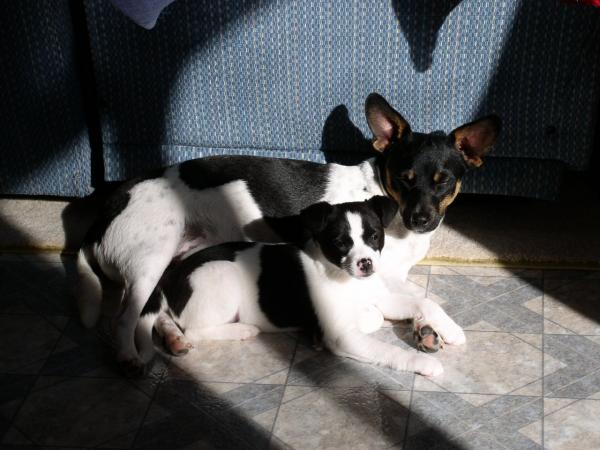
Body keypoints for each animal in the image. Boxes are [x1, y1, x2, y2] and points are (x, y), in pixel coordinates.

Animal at [134, 197, 448, 376]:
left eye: (374, 236)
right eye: (340, 243)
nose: (366, 264)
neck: (343, 277)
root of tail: (174, 274)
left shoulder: (378, 296)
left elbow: (420, 302)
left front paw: (449, 330)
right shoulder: (343, 336)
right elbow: (389, 350)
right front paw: (424, 365)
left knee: (167, 319)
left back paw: (174, 339)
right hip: (223, 276)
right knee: (194, 330)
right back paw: (241, 330)